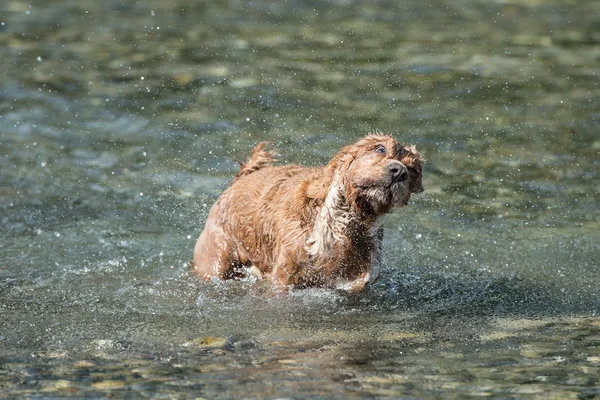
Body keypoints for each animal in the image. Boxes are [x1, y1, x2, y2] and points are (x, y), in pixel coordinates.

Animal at [192, 134, 422, 290]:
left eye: (414, 170)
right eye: (380, 149)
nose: (399, 171)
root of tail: (240, 179)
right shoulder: (285, 276)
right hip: (216, 256)